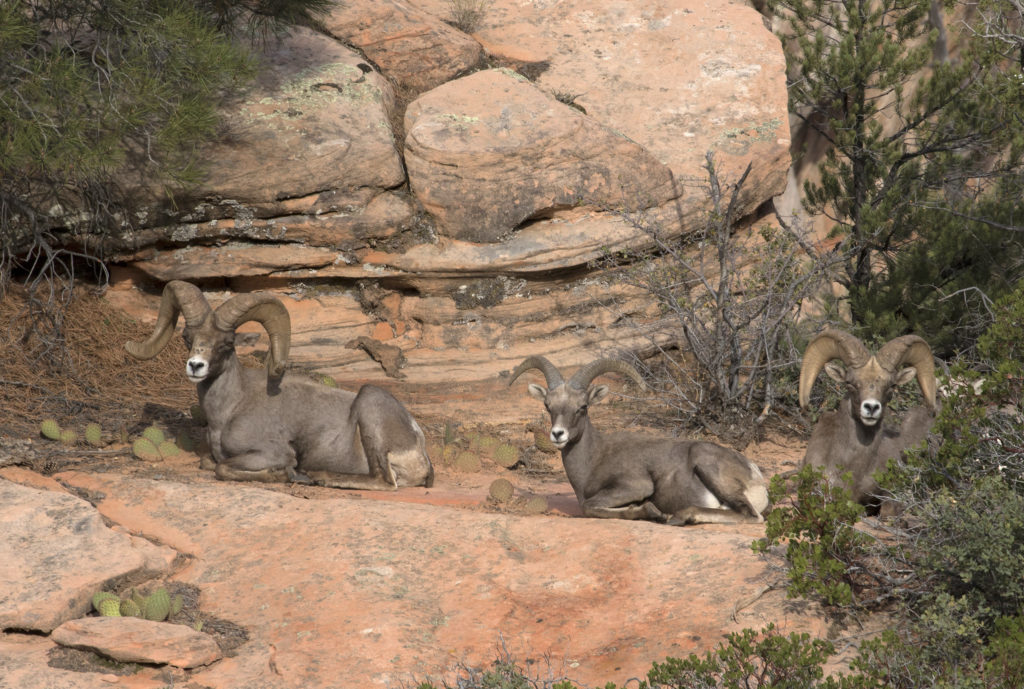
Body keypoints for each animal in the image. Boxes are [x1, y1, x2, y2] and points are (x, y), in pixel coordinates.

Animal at [125, 278, 434, 489]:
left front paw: (285, 474)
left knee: (384, 482)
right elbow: (208, 462)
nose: (195, 366)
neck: (229, 410)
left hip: (370, 402)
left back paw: (316, 477)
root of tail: (419, 448)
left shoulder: (270, 453)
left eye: (227, 344)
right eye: (187, 338)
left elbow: (221, 468)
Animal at [507, 358, 770, 524]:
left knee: (751, 516)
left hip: (707, 464)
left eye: (582, 407)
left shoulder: (636, 486)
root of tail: (754, 474)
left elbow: (589, 506)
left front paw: (653, 512)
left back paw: (679, 517)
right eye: (547, 405)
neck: (593, 460)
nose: (558, 434)